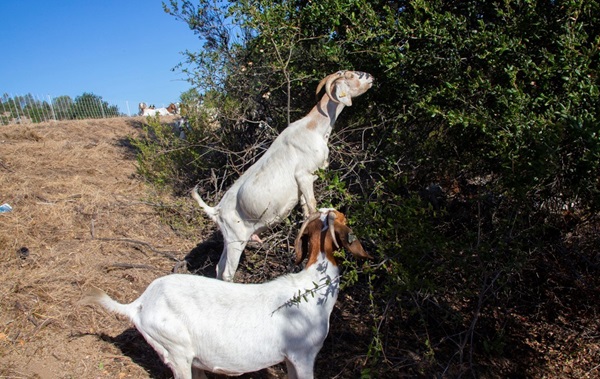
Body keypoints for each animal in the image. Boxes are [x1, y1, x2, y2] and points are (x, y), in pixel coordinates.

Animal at [192, 70, 372, 282]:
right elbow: (313, 208)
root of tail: (216, 211)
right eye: (351, 76)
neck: (313, 128)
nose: (370, 77)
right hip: (236, 240)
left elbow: (306, 212)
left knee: (219, 269)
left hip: (229, 241)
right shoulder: (304, 176)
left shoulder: (303, 186)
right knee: (227, 272)